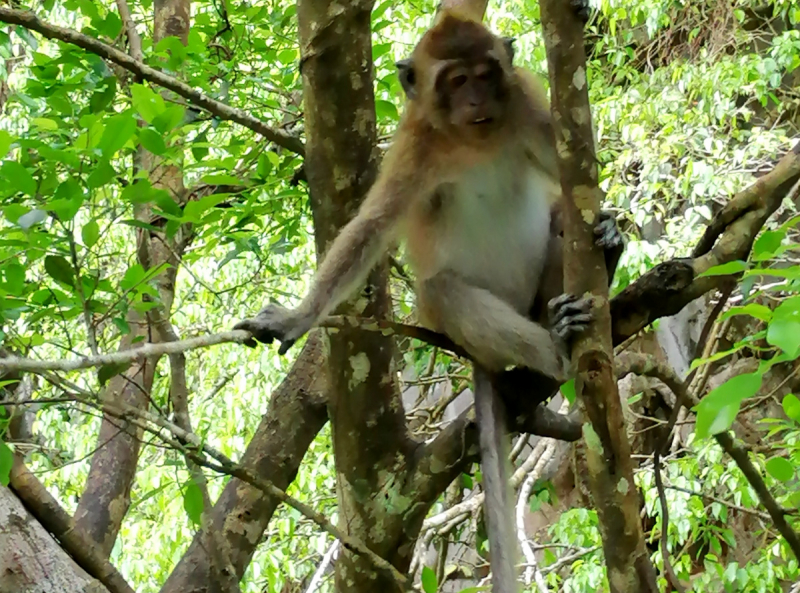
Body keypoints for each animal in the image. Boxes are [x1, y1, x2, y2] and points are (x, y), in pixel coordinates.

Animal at [234, 3, 616, 588]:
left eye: (485, 74)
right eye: (456, 82)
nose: (477, 101)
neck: (474, 143)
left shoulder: (523, 106)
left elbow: (576, 180)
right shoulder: (416, 150)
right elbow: (369, 228)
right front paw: (298, 316)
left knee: (558, 219)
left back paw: (593, 278)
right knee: (442, 291)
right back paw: (554, 346)